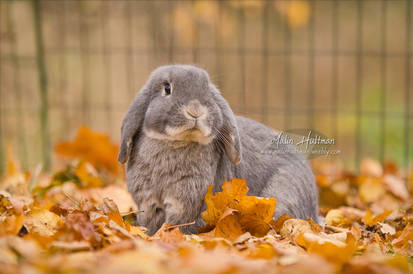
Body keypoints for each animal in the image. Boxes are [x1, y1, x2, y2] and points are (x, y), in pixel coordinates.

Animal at [117, 65, 318, 235]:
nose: (195, 111)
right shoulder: (148, 202)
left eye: (207, 89)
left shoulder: (187, 201)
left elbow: (179, 223)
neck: (176, 142)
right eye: (167, 88)